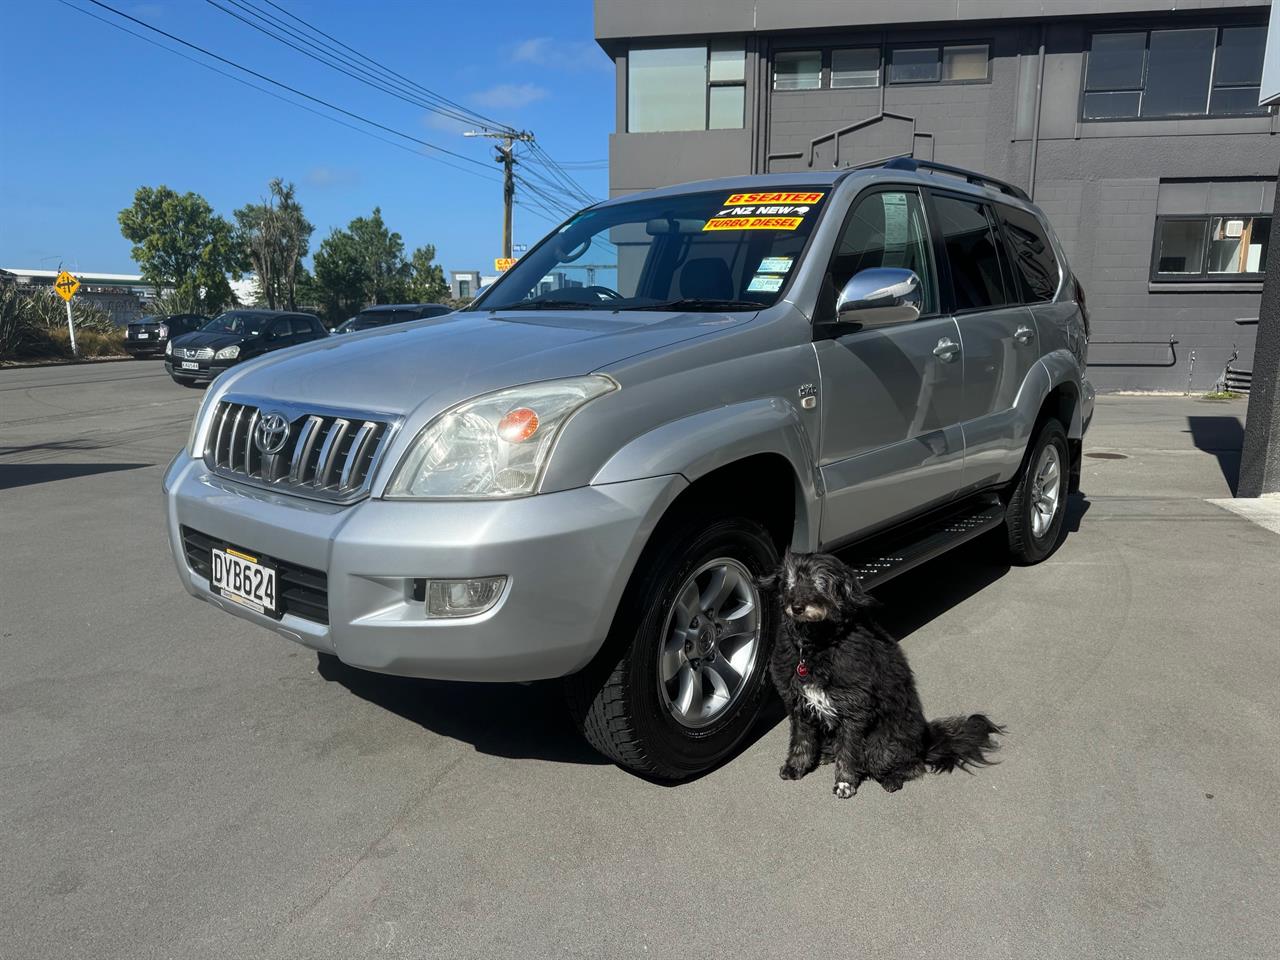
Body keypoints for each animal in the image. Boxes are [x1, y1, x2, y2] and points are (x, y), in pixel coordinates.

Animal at [757, 552, 998, 798]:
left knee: (911, 766)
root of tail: (925, 742)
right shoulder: (798, 704)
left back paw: (892, 779)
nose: (796, 607)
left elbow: (848, 751)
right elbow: (801, 740)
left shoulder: (854, 708)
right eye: (790, 581)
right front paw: (795, 767)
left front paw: (845, 782)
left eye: (820, 582)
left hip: (879, 748)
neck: (816, 644)